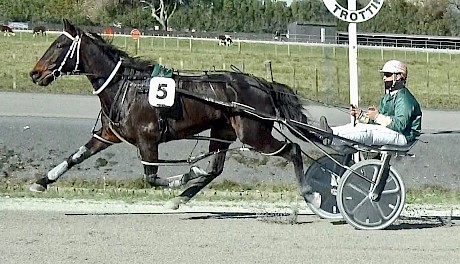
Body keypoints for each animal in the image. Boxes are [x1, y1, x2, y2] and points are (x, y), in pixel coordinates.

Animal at [28, 19, 322, 208]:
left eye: (58, 46)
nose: (35, 73)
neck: (127, 85)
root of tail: (261, 84)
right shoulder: (108, 135)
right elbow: (76, 157)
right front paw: (41, 181)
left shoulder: (148, 140)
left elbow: (152, 178)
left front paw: (187, 174)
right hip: (223, 131)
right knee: (215, 169)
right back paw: (181, 198)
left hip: (254, 134)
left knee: (293, 149)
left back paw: (309, 192)